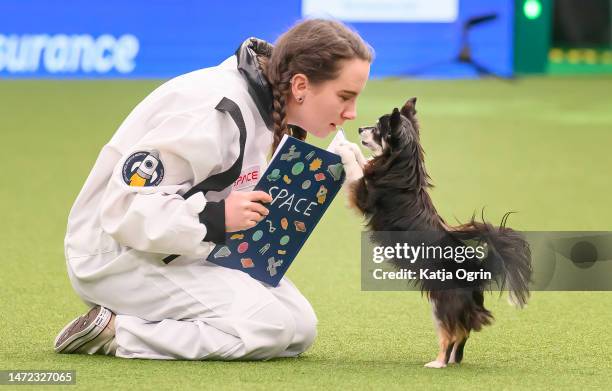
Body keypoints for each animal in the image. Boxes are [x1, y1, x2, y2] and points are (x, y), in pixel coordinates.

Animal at [334, 99, 532, 370]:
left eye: (377, 129)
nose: (360, 128)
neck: (397, 165)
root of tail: (477, 269)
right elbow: (363, 161)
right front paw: (352, 147)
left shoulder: (363, 196)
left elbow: (356, 171)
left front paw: (344, 150)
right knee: (463, 333)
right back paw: (453, 360)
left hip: (442, 303)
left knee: (451, 333)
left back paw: (439, 362)